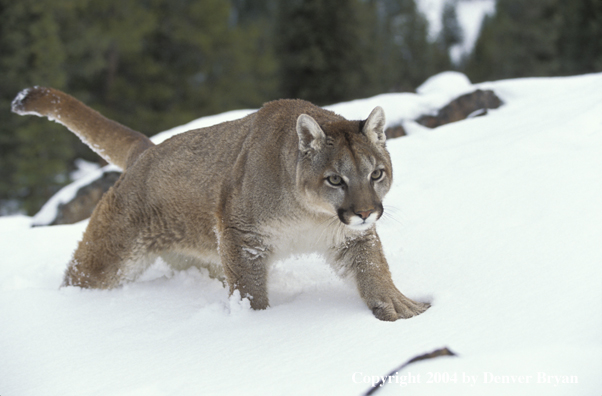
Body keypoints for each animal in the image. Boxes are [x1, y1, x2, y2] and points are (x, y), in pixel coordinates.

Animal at [11, 85, 428, 320]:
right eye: (335, 179)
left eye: (376, 174)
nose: (365, 211)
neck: (312, 215)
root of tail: (147, 151)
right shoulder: (242, 235)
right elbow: (250, 289)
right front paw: (256, 324)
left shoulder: (351, 237)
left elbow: (373, 269)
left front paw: (399, 307)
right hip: (109, 257)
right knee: (81, 277)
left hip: (203, 254)